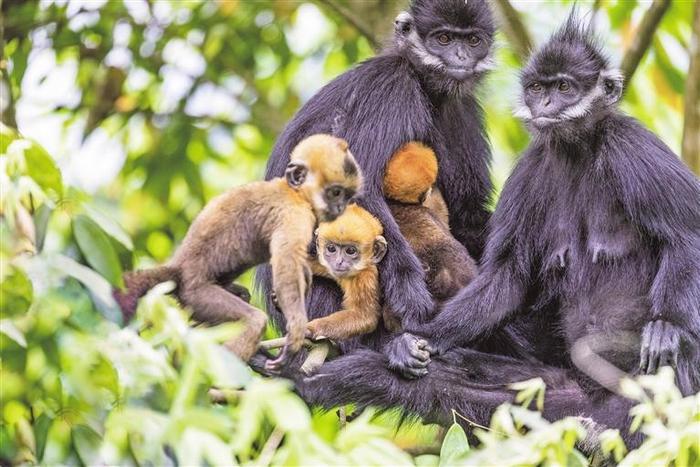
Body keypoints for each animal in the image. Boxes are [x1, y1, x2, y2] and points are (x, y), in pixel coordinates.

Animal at [114, 133, 360, 372]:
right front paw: (296, 329)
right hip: (197, 293)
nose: (340, 208)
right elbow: (286, 265)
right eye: (335, 193)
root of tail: (179, 269)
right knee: (254, 321)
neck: (293, 192)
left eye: (346, 194)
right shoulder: (294, 214)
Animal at [306, 204, 388, 340]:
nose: (339, 262)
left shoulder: (364, 278)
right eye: (331, 248)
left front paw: (311, 329)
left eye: (350, 251)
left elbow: (364, 317)